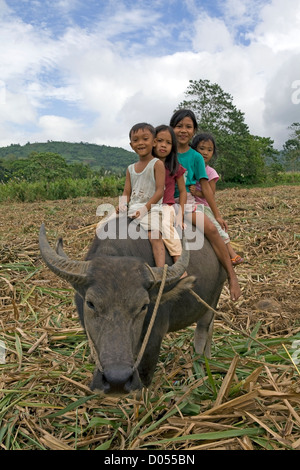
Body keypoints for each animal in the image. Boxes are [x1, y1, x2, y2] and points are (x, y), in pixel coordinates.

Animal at [38, 216, 225, 392]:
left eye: (143, 306)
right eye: (90, 303)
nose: (117, 377)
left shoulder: (153, 338)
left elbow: (144, 375)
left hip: (214, 297)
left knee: (203, 330)